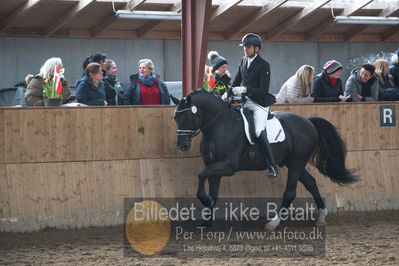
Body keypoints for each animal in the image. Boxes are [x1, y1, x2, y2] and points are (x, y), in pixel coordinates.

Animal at [172, 89, 360, 229]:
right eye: (175, 117)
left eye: (187, 117)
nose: (182, 146)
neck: (219, 127)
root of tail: (308, 121)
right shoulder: (214, 166)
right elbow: (213, 192)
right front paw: (206, 222)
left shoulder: (227, 166)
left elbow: (201, 174)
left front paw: (204, 201)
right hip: (293, 163)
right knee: (311, 183)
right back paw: (320, 216)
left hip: (297, 162)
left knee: (290, 191)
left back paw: (273, 222)